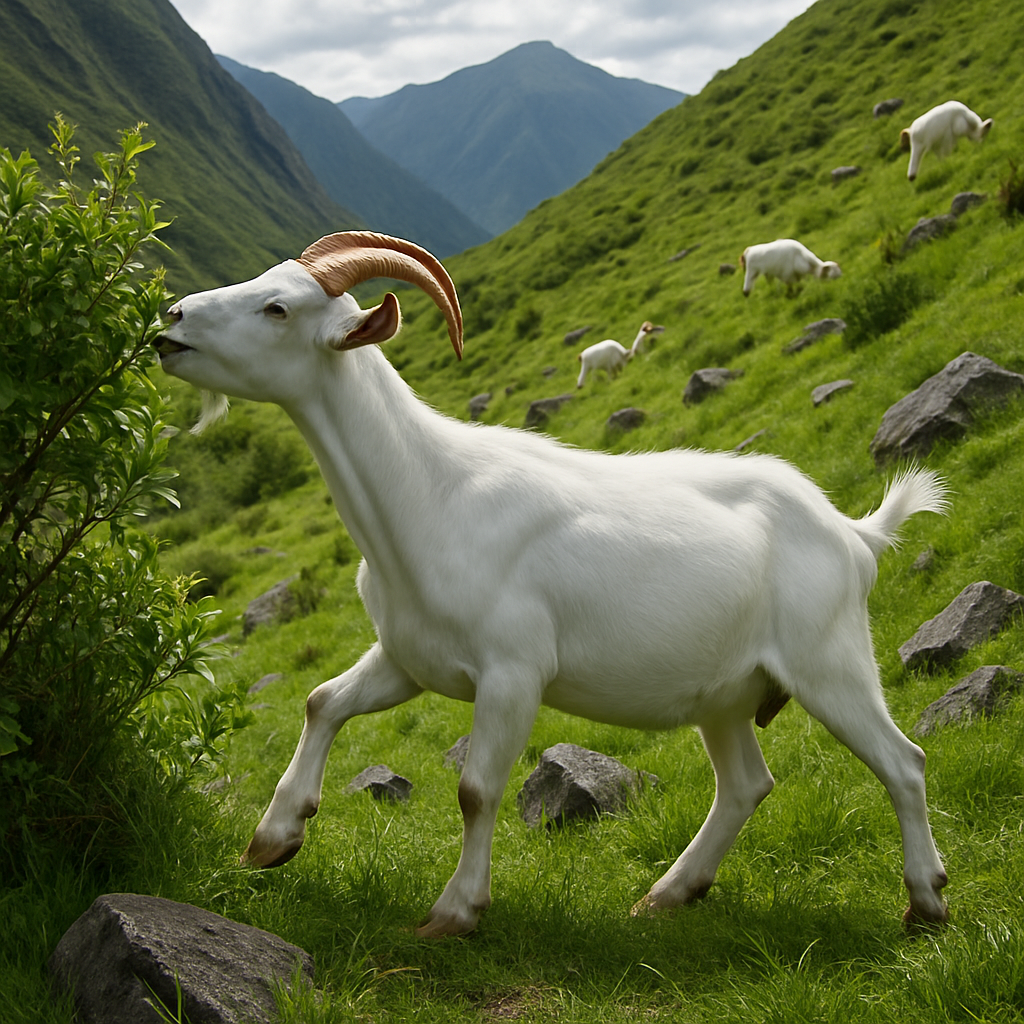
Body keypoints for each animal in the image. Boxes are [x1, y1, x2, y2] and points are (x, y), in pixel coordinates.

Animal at [154, 231, 950, 937]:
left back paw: (927, 902)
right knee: (747, 784)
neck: (431, 493)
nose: (172, 318)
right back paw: (669, 893)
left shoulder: (514, 671)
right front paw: (273, 837)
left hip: (829, 660)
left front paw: (456, 911)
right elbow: (323, 702)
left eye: (278, 308)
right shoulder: (408, 656)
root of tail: (852, 532)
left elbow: (476, 790)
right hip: (726, 693)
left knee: (904, 763)